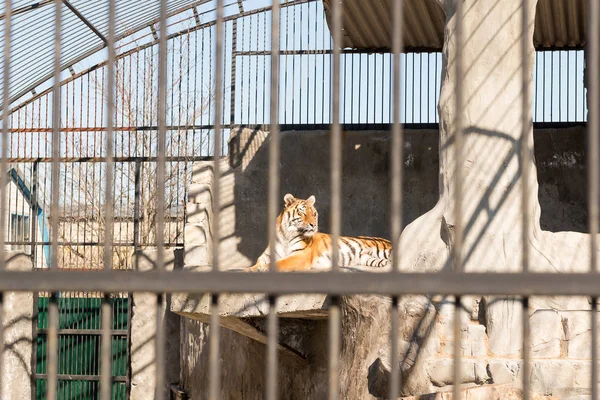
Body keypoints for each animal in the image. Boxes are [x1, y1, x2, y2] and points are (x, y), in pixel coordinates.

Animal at [245, 193, 394, 272]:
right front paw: (250, 269)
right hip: (370, 259)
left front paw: (264, 268)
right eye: (303, 212)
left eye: (314, 214)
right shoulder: (268, 255)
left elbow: (280, 263)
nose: (314, 225)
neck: (286, 235)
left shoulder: (300, 255)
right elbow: (258, 262)